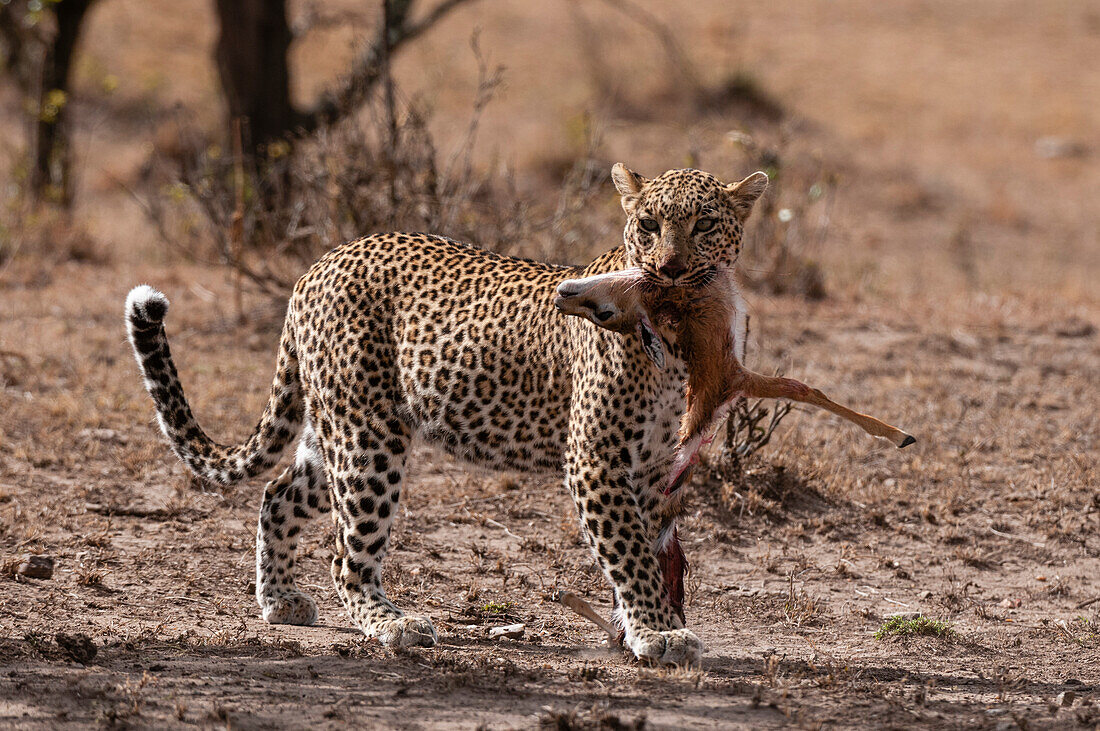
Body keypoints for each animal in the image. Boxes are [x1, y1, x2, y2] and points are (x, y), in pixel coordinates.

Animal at [126, 162, 765, 663]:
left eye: (705, 225)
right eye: (649, 224)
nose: (670, 269)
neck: (677, 340)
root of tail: (320, 262)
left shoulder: (656, 467)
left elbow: (649, 548)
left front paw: (643, 627)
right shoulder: (596, 459)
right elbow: (630, 551)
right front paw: (658, 633)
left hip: (333, 426)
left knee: (278, 491)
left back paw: (279, 600)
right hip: (368, 437)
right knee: (346, 554)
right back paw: (392, 623)